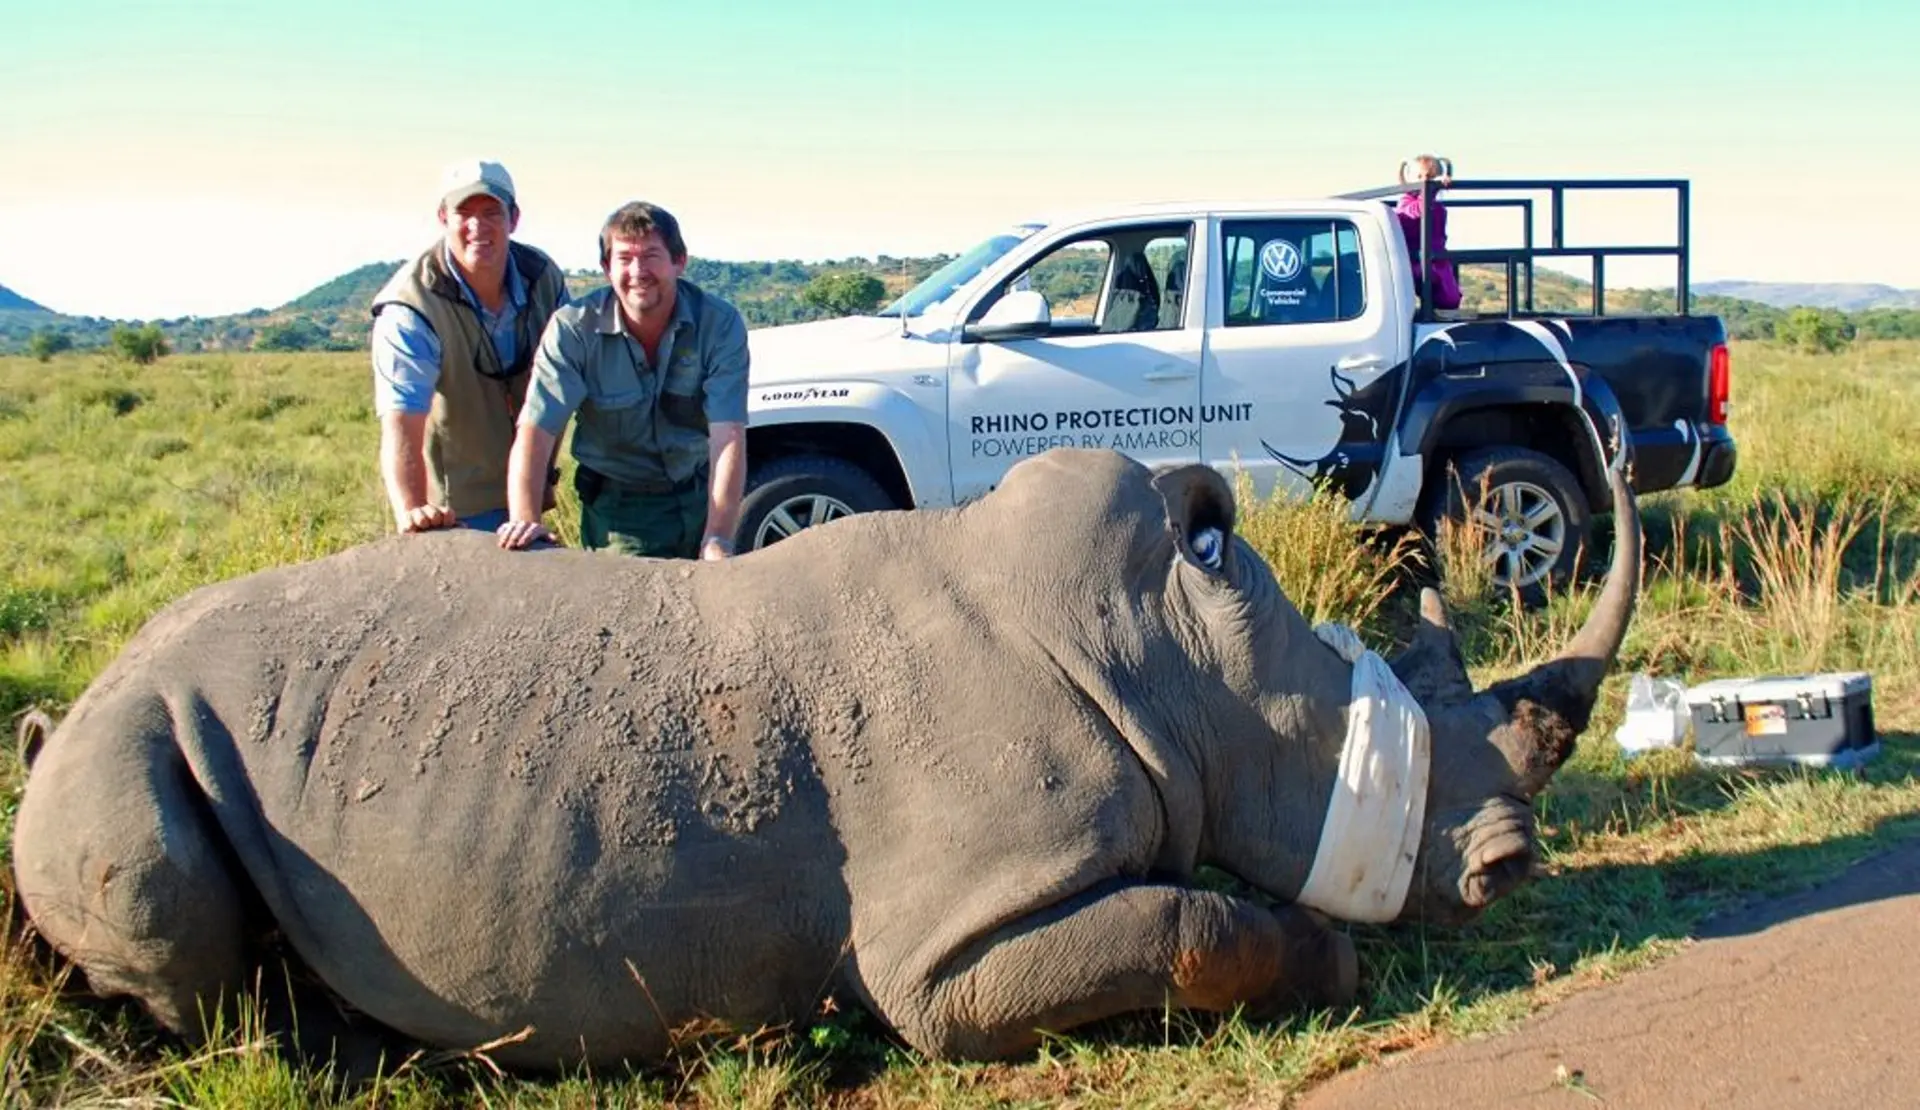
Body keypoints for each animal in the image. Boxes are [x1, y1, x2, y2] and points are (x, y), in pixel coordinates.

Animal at [11, 447, 1638, 1068]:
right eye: (1403, 739)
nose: (1509, 870)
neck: (1184, 661)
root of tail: (79, 696)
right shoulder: (955, 941)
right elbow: (1202, 925)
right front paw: (1335, 958)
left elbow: (1194, 910)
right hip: (126, 737)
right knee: (172, 926)